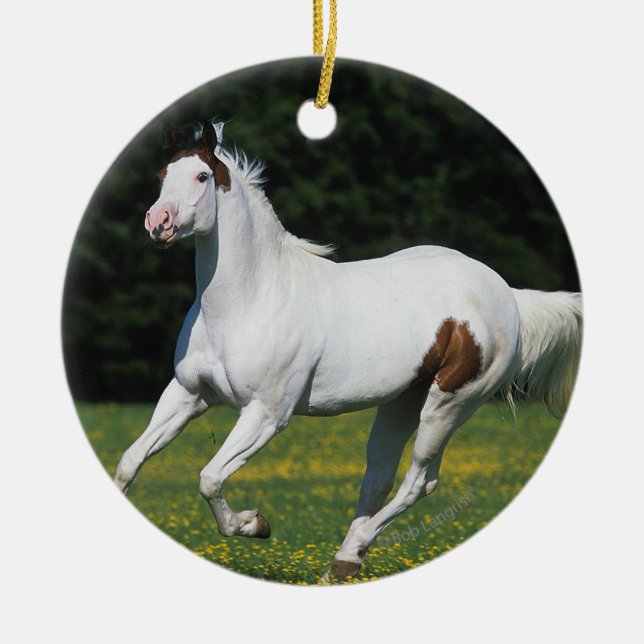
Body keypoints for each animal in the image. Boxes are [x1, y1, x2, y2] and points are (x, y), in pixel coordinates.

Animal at [113, 120, 582, 581]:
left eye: (202, 176)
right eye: (161, 175)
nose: (158, 222)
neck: (252, 298)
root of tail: (508, 295)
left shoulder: (267, 413)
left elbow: (210, 478)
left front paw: (256, 524)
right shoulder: (188, 395)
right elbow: (129, 462)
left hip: (450, 404)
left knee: (419, 480)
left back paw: (352, 551)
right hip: (402, 401)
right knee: (378, 476)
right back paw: (346, 559)